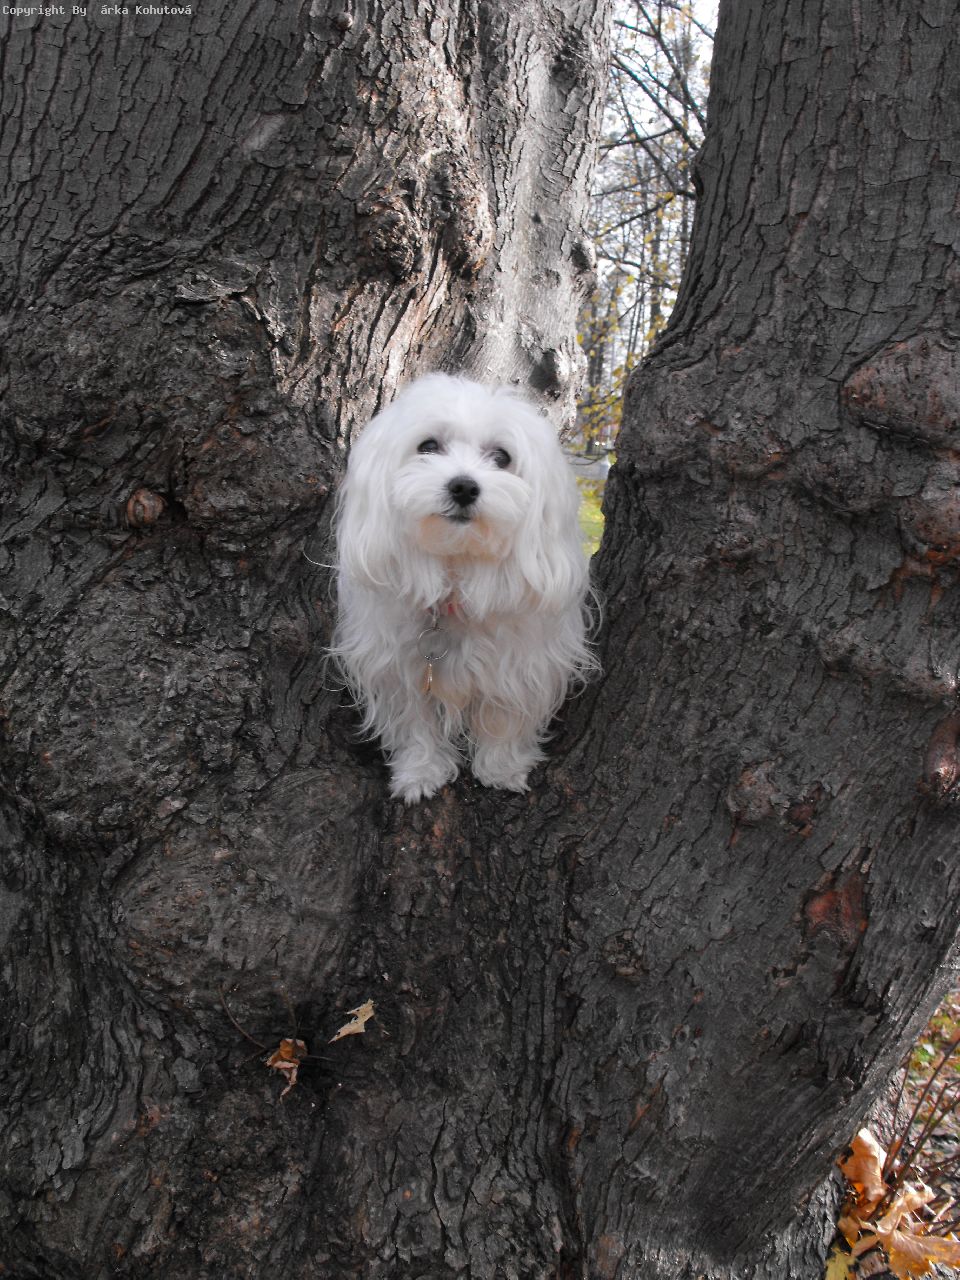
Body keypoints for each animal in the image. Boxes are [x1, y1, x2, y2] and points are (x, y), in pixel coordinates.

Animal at [331, 372, 596, 803]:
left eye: (502, 457)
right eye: (428, 446)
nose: (464, 487)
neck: (456, 569)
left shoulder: (519, 663)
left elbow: (505, 715)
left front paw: (503, 768)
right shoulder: (400, 667)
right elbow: (416, 721)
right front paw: (419, 772)